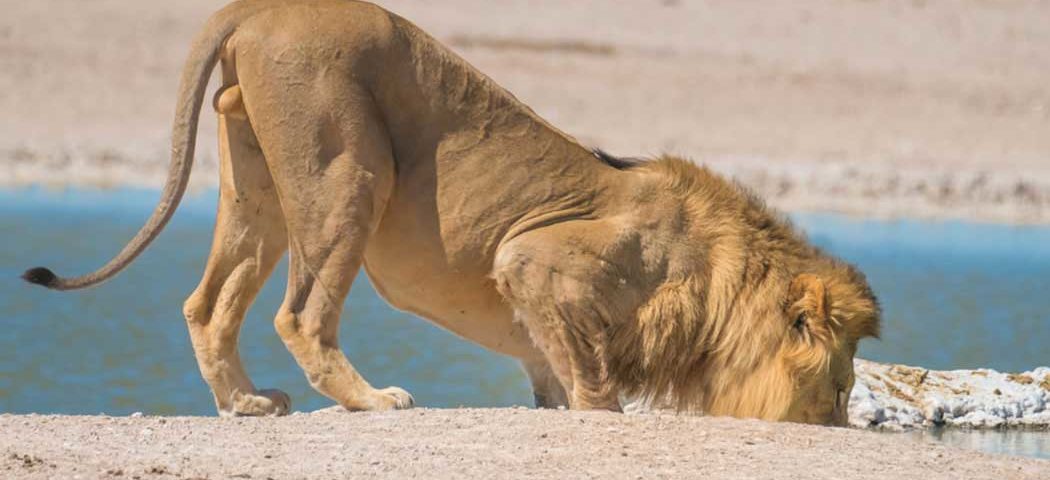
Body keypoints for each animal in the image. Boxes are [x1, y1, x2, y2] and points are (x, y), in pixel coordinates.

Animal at [22, 0, 879, 425]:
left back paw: (244, 402)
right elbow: (593, 379)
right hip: (351, 175)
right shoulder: (532, 256)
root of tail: (260, 7)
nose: (839, 427)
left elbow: (556, 360)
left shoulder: (538, 296)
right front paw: (601, 410)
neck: (723, 286)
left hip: (258, 187)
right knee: (301, 316)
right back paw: (371, 400)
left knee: (206, 305)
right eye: (840, 391)